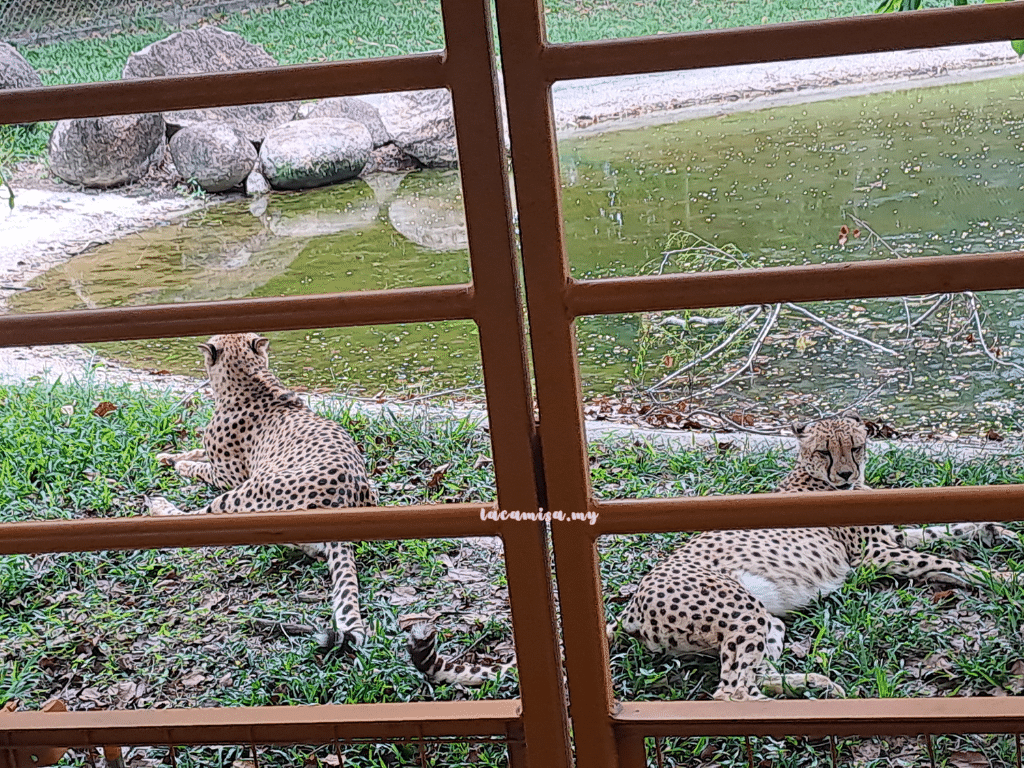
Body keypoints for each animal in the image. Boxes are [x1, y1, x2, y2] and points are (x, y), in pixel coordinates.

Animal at [146, 331, 378, 651]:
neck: (252, 376)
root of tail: (342, 504)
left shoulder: (228, 476)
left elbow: (199, 467)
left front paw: (179, 464)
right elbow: (195, 451)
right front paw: (168, 456)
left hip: (242, 496)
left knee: (198, 517)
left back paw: (158, 505)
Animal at [407, 411, 1015, 700]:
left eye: (857, 447)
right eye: (825, 450)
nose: (846, 474)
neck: (817, 479)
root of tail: (630, 607)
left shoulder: (892, 539)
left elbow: (942, 531)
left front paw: (994, 532)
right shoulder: (875, 558)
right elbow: (949, 562)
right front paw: (1002, 578)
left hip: (763, 620)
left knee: (753, 675)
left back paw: (814, 686)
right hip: (740, 610)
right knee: (730, 694)